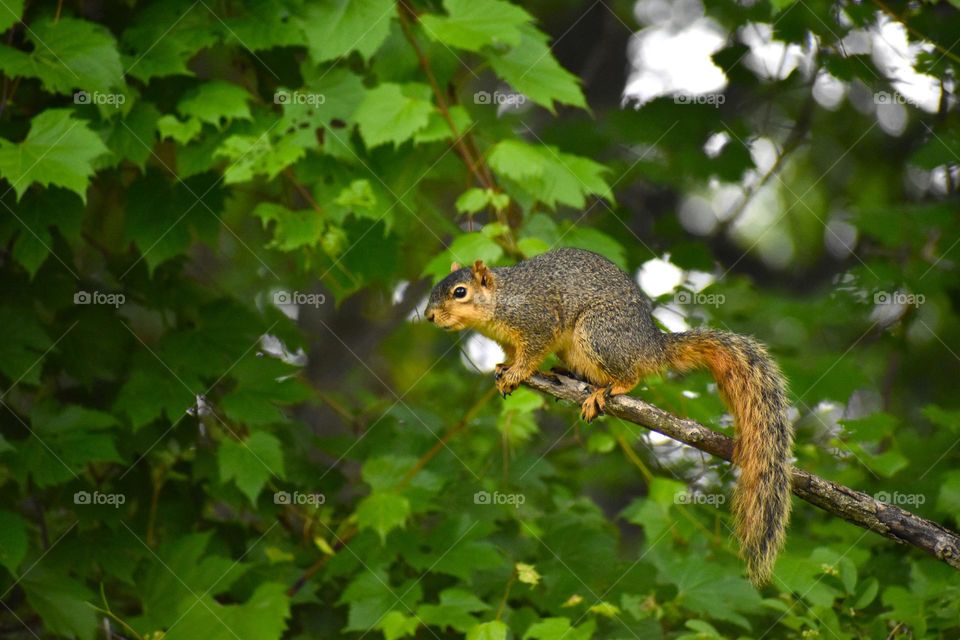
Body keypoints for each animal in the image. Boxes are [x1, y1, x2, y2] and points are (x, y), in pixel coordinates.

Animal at [425, 247, 793, 586]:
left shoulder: (537, 320)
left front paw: (517, 373)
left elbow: (531, 354)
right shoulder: (509, 339)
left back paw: (607, 390)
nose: (428, 316)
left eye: (460, 292)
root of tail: (651, 345)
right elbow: (513, 354)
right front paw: (504, 368)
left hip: (599, 334)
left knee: (631, 375)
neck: (500, 299)